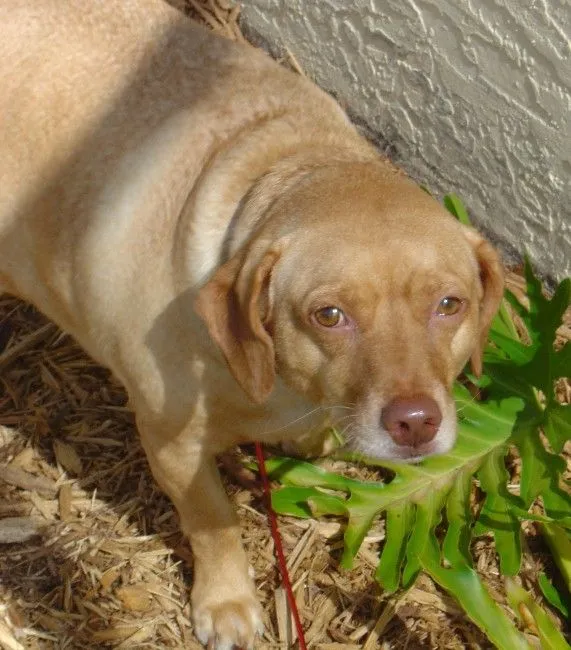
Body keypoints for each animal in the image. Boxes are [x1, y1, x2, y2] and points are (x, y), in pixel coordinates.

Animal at [0, 1, 504, 647]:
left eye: (449, 304)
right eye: (329, 315)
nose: (415, 423)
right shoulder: (173, 447)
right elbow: (213, 522)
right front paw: (227, 603)